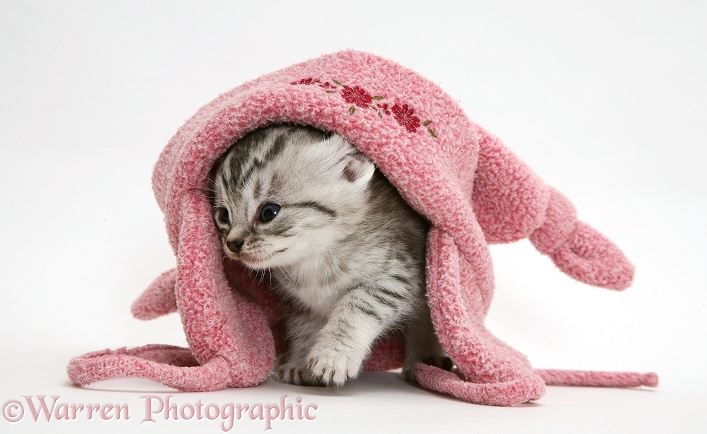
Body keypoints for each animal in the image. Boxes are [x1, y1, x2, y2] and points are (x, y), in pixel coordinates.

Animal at [210, 124, 454, 384]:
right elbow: (304, 328)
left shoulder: (398, 276)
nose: (233, 243)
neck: (315, 259)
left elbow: (357, 306)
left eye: (268, 212)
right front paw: (300, 363)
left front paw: (333, 355)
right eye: (223, 215)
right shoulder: (302, 304)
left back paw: (425, 359)